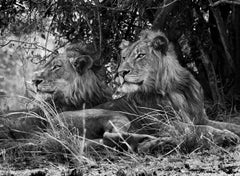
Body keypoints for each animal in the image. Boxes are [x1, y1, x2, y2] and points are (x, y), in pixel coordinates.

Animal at [56, 29, 240, 152]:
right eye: (124, 57)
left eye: (140, 55)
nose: (120, 72)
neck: (175, 88)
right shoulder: (165, 123)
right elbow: (200, 129)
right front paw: (224, 136)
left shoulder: (201, 118)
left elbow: (230, 124)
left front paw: (229, 130)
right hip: (113, 114)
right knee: (109, 136)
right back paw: (154, 140)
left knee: (108, 142)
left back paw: (156, 143)